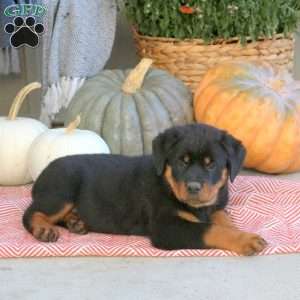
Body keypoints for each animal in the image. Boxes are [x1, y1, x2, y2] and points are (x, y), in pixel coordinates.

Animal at [23, 123, 268, 254]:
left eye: (211, 164)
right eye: (182, 162)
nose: (193, 187)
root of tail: (44, 171)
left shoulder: (216, 207)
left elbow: (223, 220)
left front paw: (237, 231)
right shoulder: (166, 228)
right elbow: (209, 229)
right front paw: (246, 240)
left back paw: (76, 221)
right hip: (62, 190)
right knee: (30, 212)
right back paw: (43, 228)